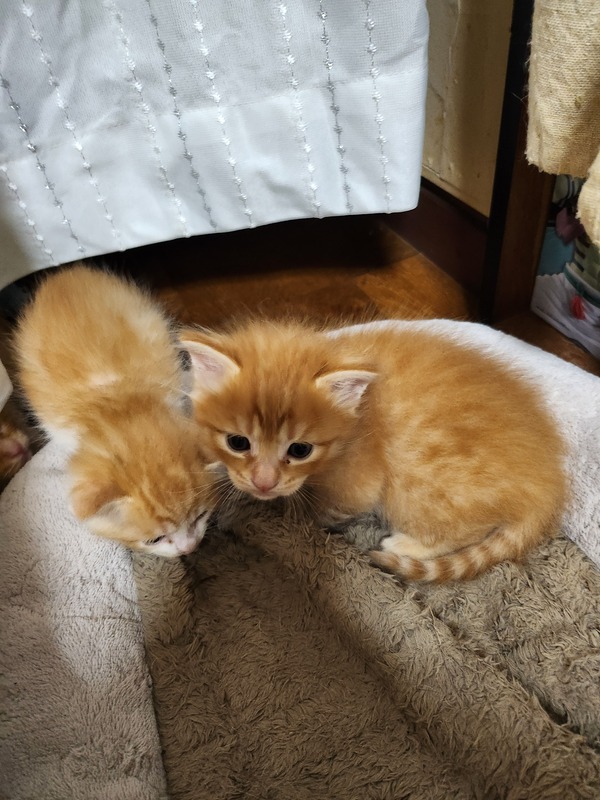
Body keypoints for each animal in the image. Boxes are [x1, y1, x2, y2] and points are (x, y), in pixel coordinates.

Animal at [179, 317, 567, 582]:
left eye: (300, 449)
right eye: (238, 442)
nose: (264, 483)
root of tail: (545, 488)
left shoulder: (358, 483)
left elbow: (320, 510)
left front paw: (294, 514)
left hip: (420, 482)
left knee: (466, 528)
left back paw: (407, 545)